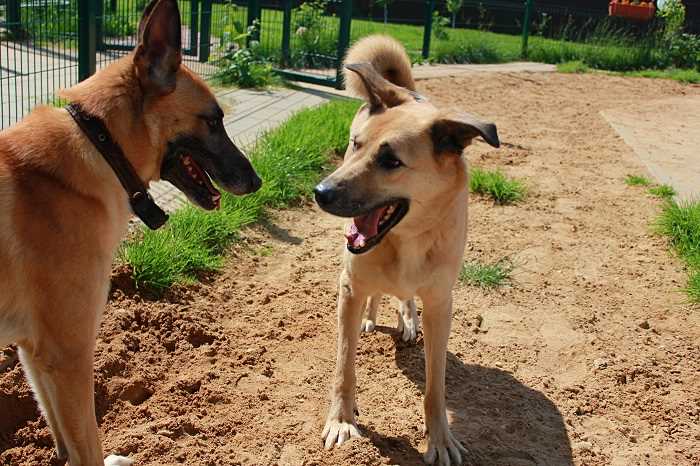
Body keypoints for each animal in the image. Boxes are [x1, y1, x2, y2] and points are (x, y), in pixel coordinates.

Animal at [0, 0, 262, 466]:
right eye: (213, 121)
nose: (257, 181)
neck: (101, 146)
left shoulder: (35, 352)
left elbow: (64, 437)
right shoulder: (68, 355)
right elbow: (88, 443)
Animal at [314, 36, 500, 466]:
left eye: (391, 161)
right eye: (355, 145)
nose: (320, 192)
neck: (407, 238)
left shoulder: (440, 303)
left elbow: (436, 387)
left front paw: (440, 438)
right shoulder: (349, 287)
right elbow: (344, 368)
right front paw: (341, 420)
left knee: (405, 296)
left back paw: (408, 320)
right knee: (377, 294)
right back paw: (371, 318)